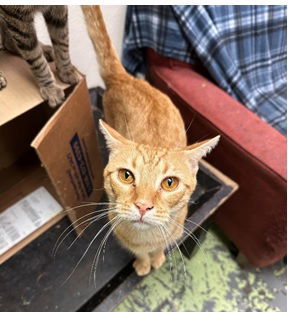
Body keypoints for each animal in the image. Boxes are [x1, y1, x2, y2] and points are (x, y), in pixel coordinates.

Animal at [82, 6, 219, 276]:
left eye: (169, 183)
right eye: (126, 176)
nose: (143, 206)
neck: (147, 237)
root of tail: (125, 77)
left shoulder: (174, 231)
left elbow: (160, 247)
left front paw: (156, 257)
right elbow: (140, 252)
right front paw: (144, 263)